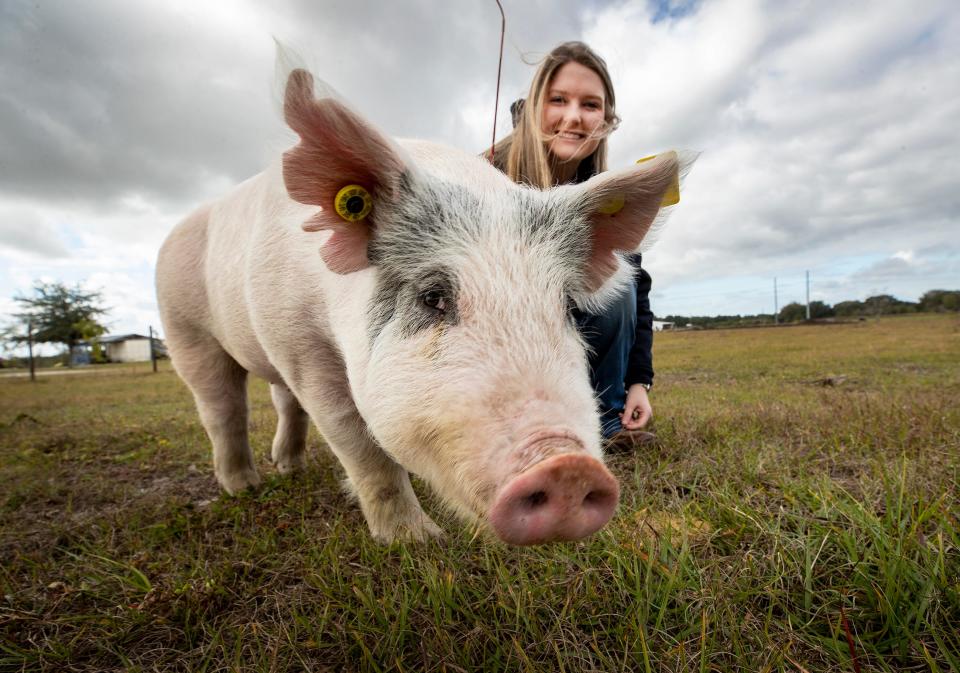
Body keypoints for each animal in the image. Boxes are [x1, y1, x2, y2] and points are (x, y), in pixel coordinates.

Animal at [158, 65, 680, 544]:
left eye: (568, 309)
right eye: (433, 297)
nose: (567, 467)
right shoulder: (302, 346)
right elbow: (360, 447)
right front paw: (417, 541)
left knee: (283, 402)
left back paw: (290, 468)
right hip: (186, 327)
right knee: (222, 407)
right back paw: (244, 486)